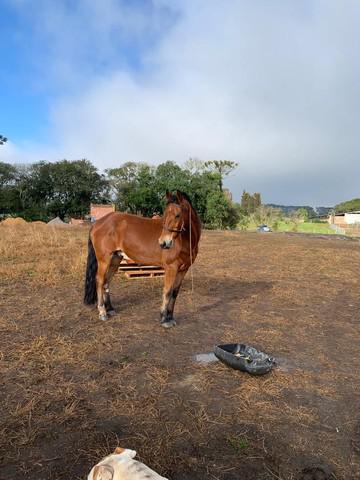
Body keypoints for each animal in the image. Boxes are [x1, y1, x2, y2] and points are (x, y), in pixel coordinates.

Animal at [84, 190, 202, 326]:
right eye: (165, 214)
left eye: (178, 215)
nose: (163, 243)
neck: (184, 240)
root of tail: (98, 223)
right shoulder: (171, 268)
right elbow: (167, 291)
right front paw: (164, 319)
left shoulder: (183, 270)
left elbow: (174, 293)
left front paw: (171, 317)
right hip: (104, 260)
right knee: (99, 280)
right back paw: (102, 312)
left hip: (115, 259)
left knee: (106, 282)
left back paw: (110, 309)